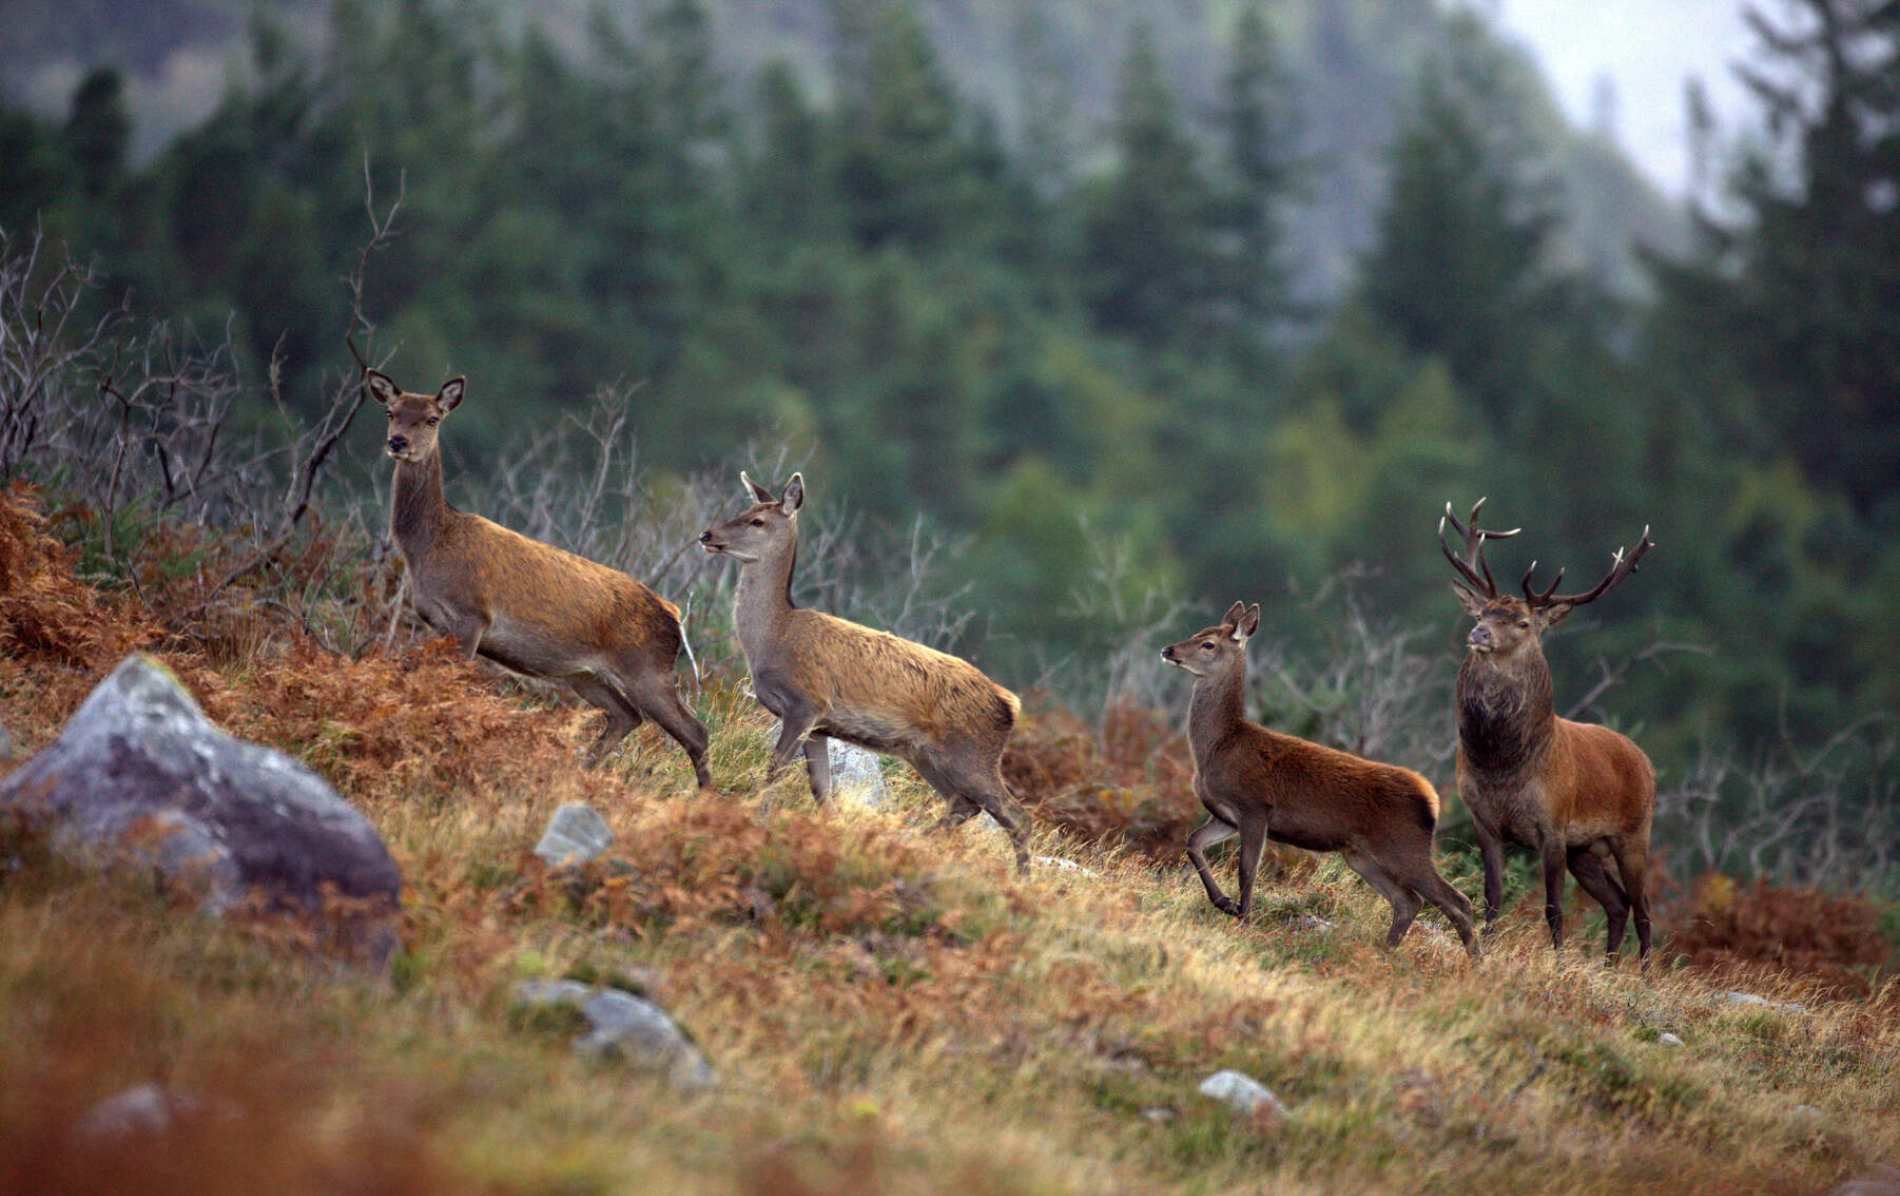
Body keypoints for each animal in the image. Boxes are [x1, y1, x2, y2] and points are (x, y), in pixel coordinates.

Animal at [367, 369, 712, 789]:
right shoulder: (437, 623)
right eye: (391, 412)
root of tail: (675, 614)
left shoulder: (472, 614)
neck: (429, 549)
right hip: (583, 673)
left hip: (647, 668)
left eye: (432, 418)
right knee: (627, 715)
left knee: (695, 731)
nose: (398, 442)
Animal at [697, 472, 1032, 872]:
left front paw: (756, 822)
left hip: (971, 753)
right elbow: (821, 789)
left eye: (757, 521)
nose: (707, 535)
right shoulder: (820, 725)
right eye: (742, 510)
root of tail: (1009, 703)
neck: (774, 636)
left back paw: (1022, 879)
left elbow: (775, 769)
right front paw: (830, 837)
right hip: (925, 754)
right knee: (965, 804)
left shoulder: (804, 702)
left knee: (1016, 815)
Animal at [1161, 602, 1480, 957]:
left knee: (1457, 902)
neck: (1218, 748)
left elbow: (1247, 870)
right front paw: (1226, 904)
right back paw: (1384, 956)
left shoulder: (1256, 806)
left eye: (1208, 644)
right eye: (1196, 632)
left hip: (1404, 845)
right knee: (1408, 900)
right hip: (1359, 855)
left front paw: (1244, 922)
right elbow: (1192, 842)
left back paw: (1476, 963)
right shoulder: (1225, 815)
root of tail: (1432, 799)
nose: (1168, 650)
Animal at [1438, 498, 1657, 964]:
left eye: (1522, 622)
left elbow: (1554, 905)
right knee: (1617, 903)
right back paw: (1608, 968)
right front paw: (1486, 950)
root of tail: (1645, 761)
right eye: (1482, 612)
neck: (1502, 767)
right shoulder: (1484, 820)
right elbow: (1492, 894)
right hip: (1586, 850)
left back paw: (1644, 973)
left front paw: (1556, 962)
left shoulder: (1553, 825)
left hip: (1634, 833)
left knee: (1643, 906)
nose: (1478, 632)